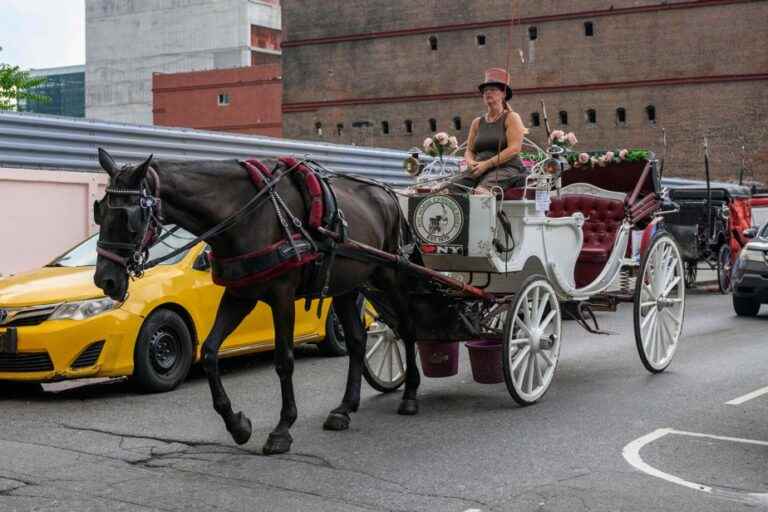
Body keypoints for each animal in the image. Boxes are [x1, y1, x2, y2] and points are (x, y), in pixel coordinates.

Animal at [94, 148, 426, 452]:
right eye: (99, 212)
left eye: (128, 217)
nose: (104, 280)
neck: (244, 214)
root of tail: (387, 194)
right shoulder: (239, 295)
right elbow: (211, 352)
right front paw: (237, 424)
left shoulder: (282, 296)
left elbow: (284, 360)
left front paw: (283, 428)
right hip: (347, 285)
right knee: (357, 340)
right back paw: (345, 408)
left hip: (390, 275)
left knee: (407, 328)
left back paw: (410, 395)